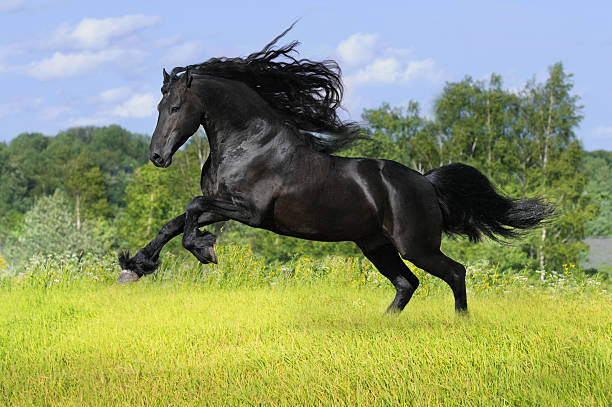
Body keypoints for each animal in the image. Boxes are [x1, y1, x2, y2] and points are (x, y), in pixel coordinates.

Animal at [117, 27, 552, 316]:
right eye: (159, 106)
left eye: (175, 107)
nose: (157, 156)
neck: (250, 144)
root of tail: (426, 183)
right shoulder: (223, 204)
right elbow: (174, 222)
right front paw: (135, 267)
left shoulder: (250, 211)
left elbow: (190, 208)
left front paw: (204, 250)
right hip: (376, 245)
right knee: (407, 283)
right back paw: (383, 325)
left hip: (416, 245)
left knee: (455, 273)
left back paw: (460, 323)